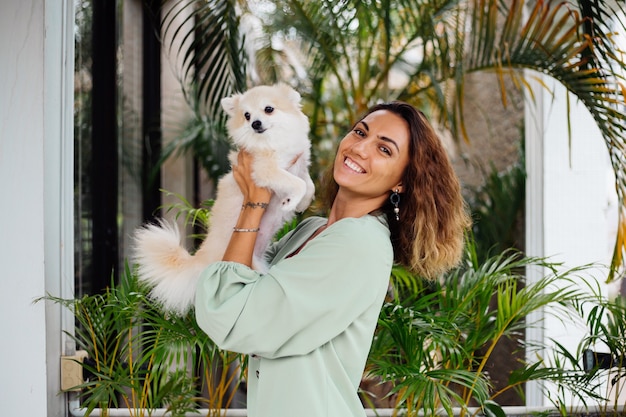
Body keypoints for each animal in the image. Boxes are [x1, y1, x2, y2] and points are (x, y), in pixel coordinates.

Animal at [133, 83, 314, 314]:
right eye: (246, 115)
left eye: (268, 109)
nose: (255, 123)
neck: (272, 141)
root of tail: (202, 259)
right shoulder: (266, 171)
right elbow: (298, 183)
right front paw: (291, 201)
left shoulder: (299, 164)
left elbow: (308, 184)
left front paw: (302, 203)